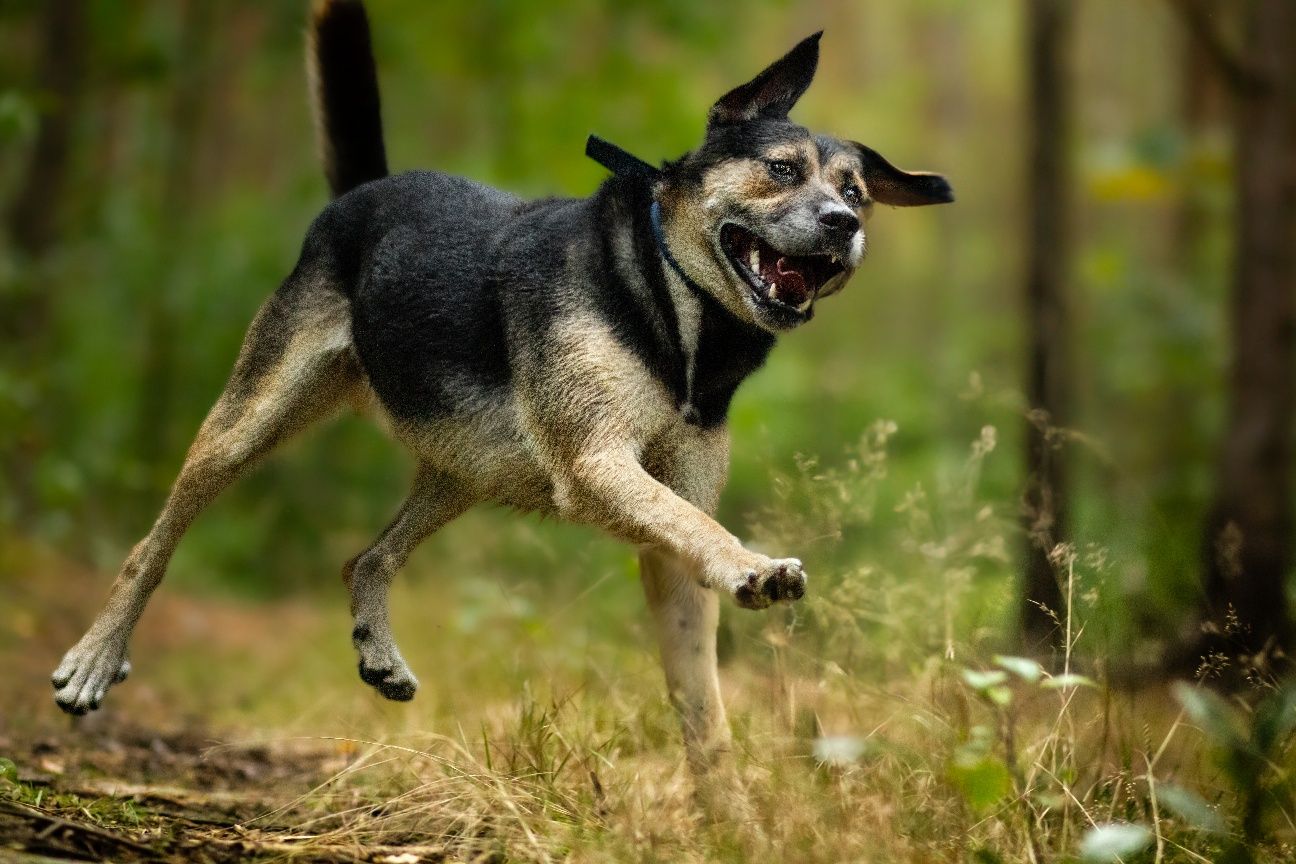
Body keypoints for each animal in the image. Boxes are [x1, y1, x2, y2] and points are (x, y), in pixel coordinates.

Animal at [50, 0, 953, 782]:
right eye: (781, 170)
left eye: (857, 192)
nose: (845, 225)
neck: (672, 309)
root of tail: (363, 194)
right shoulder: (596, 463)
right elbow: (699, 526)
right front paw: (756, 565)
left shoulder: (668, 546)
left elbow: (704, 703)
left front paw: (730, 820)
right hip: (253, 417)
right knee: (150, 546)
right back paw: (95, 658)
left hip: (467, 469)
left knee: (365, 556)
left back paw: (377, 647)